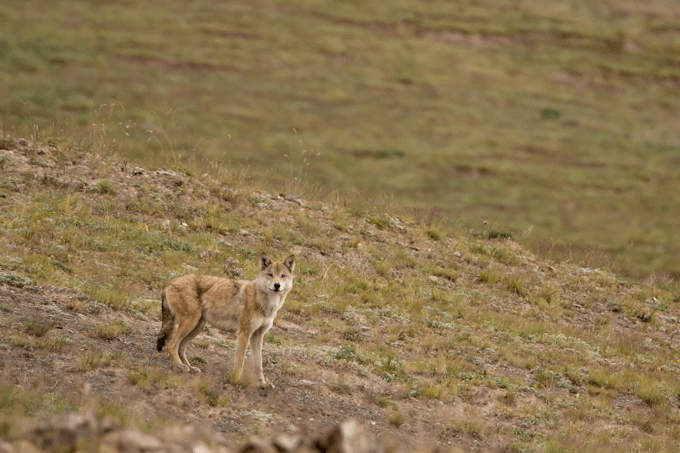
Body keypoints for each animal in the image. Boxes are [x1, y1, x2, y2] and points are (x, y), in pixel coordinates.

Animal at [157, 252, 294, 386]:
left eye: (283, 276)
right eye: (270, 275)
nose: (277, 285)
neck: (265, 302)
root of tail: (169, 283)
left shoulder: (257, 335)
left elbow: (259, 364)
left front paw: (263, 383)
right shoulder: (244, 334)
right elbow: (240, 362)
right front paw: (236, 380)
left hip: (197, 326)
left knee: (180, 347)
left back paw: (190, 368)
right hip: (190, 323)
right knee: (171, 345)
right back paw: (180, 366)